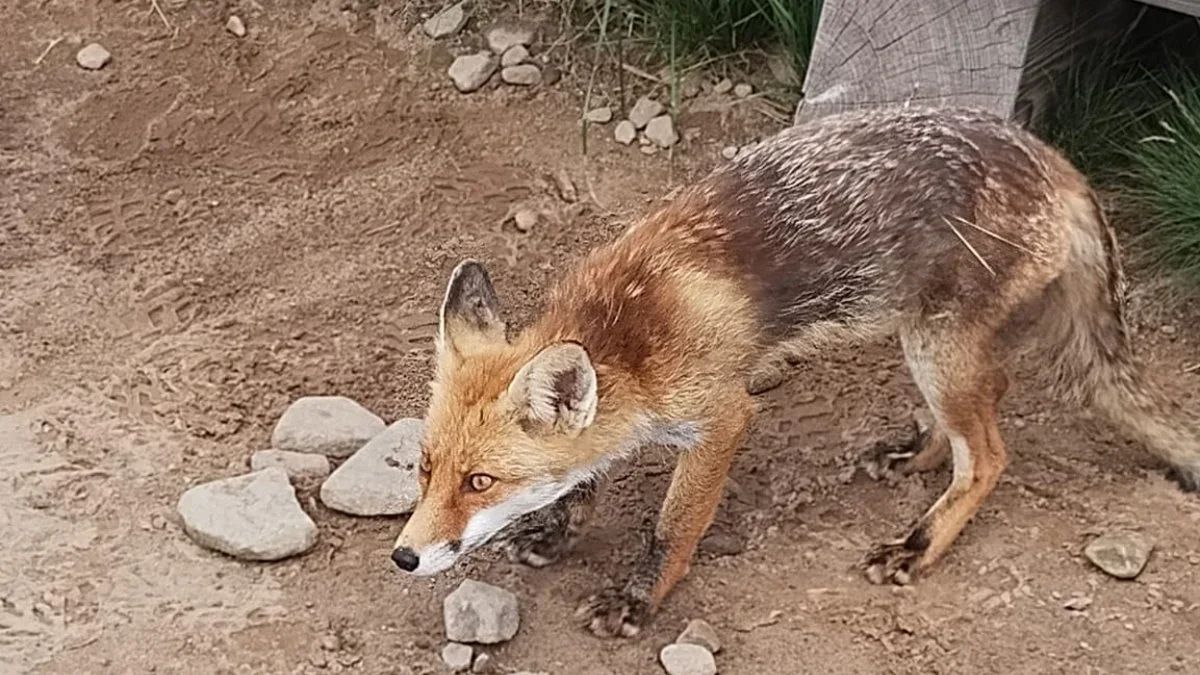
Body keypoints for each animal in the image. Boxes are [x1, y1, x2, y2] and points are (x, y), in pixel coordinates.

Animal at [388, 102, 1195, 634]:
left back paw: (918, 545)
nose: (403, 557)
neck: (630, 335)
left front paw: (639, 599)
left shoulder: (721, 415)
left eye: (480, 482)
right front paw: (559, 527)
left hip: (939, 351)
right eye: (425, 469)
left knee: (990, 455)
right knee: (970, 426)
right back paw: (915, 453)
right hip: (925, 345)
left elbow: (674, 526)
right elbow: (587, 471)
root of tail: (1056, 159)